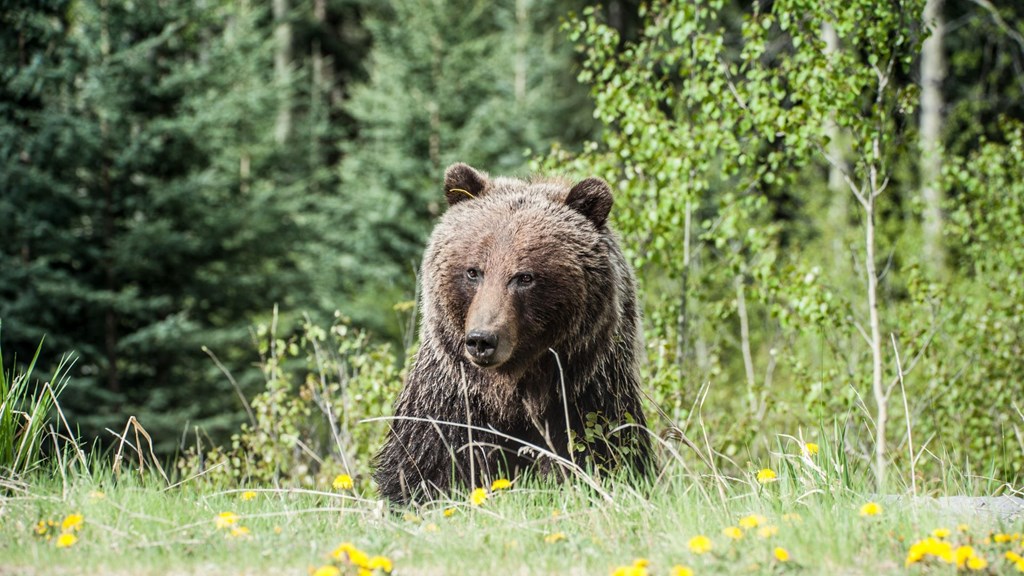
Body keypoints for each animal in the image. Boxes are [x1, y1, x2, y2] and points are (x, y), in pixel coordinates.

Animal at [373, 162, 652, 503]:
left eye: (524, 277)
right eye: (473, 271)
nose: (482, 340)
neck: (513, 392)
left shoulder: (585, 397)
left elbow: (602, 455)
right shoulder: (451, 402)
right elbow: (426, 467)